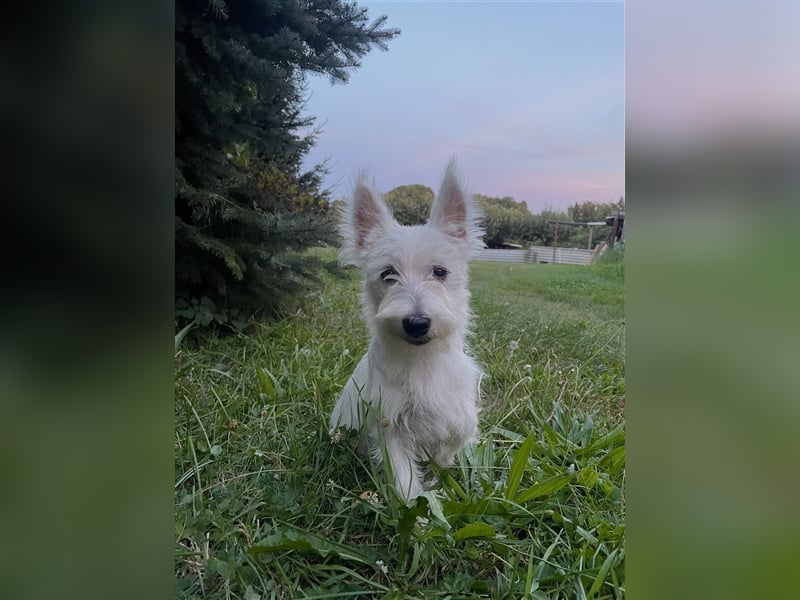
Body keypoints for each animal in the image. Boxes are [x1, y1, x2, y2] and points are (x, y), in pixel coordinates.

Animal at [328, 159, 484, 502]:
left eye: (440, 272)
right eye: (388, 274)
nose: (416, 323)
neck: (422, 359)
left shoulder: (459, 414)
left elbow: (452, 442)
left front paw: (437, 475)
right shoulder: (390, 428)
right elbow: (404, 480)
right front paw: (418, 509)